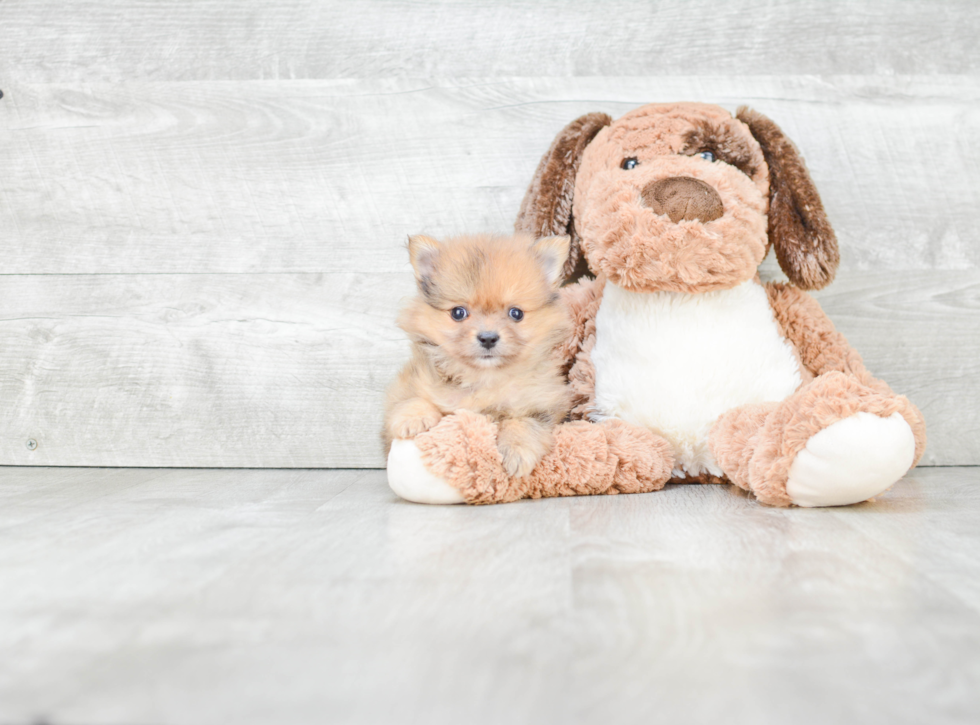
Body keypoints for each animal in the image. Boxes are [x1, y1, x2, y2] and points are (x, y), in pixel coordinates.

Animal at [386, 232, 576, 478]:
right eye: (458, 313)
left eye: (516, 313)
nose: (488, 338)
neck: (485, 378)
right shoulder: (410, 382)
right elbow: (410, 399)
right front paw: (413, 418)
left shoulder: (544, 403)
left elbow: (523, 423)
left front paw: (517, 451)